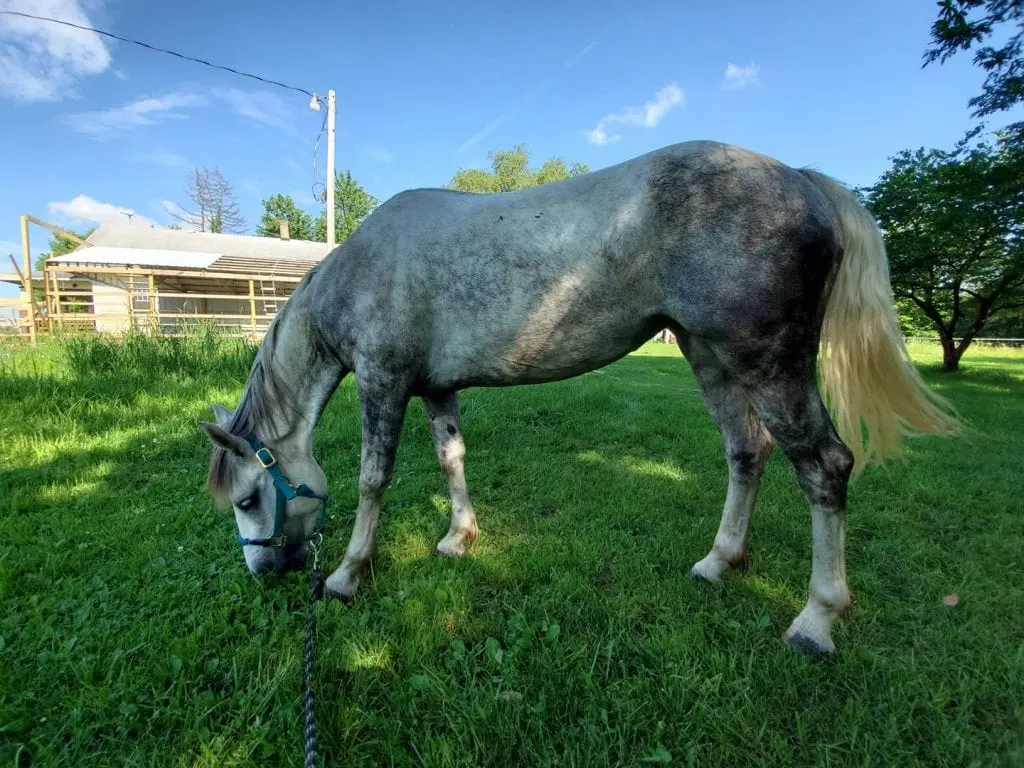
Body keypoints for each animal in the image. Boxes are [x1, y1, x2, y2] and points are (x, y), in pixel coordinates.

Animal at [201, 140, 958, 655]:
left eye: (247, 498)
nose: (263, 569)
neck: (361, 267)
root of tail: (801, 179)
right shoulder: (438, 390)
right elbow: (452, 460)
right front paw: (458, 539)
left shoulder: (383, 382)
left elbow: (371, 479)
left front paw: (349, 574)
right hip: (710, 358)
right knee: (748, 452)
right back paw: (719, 562)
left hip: (770, 367)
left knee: (824, 467)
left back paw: (817, 617)